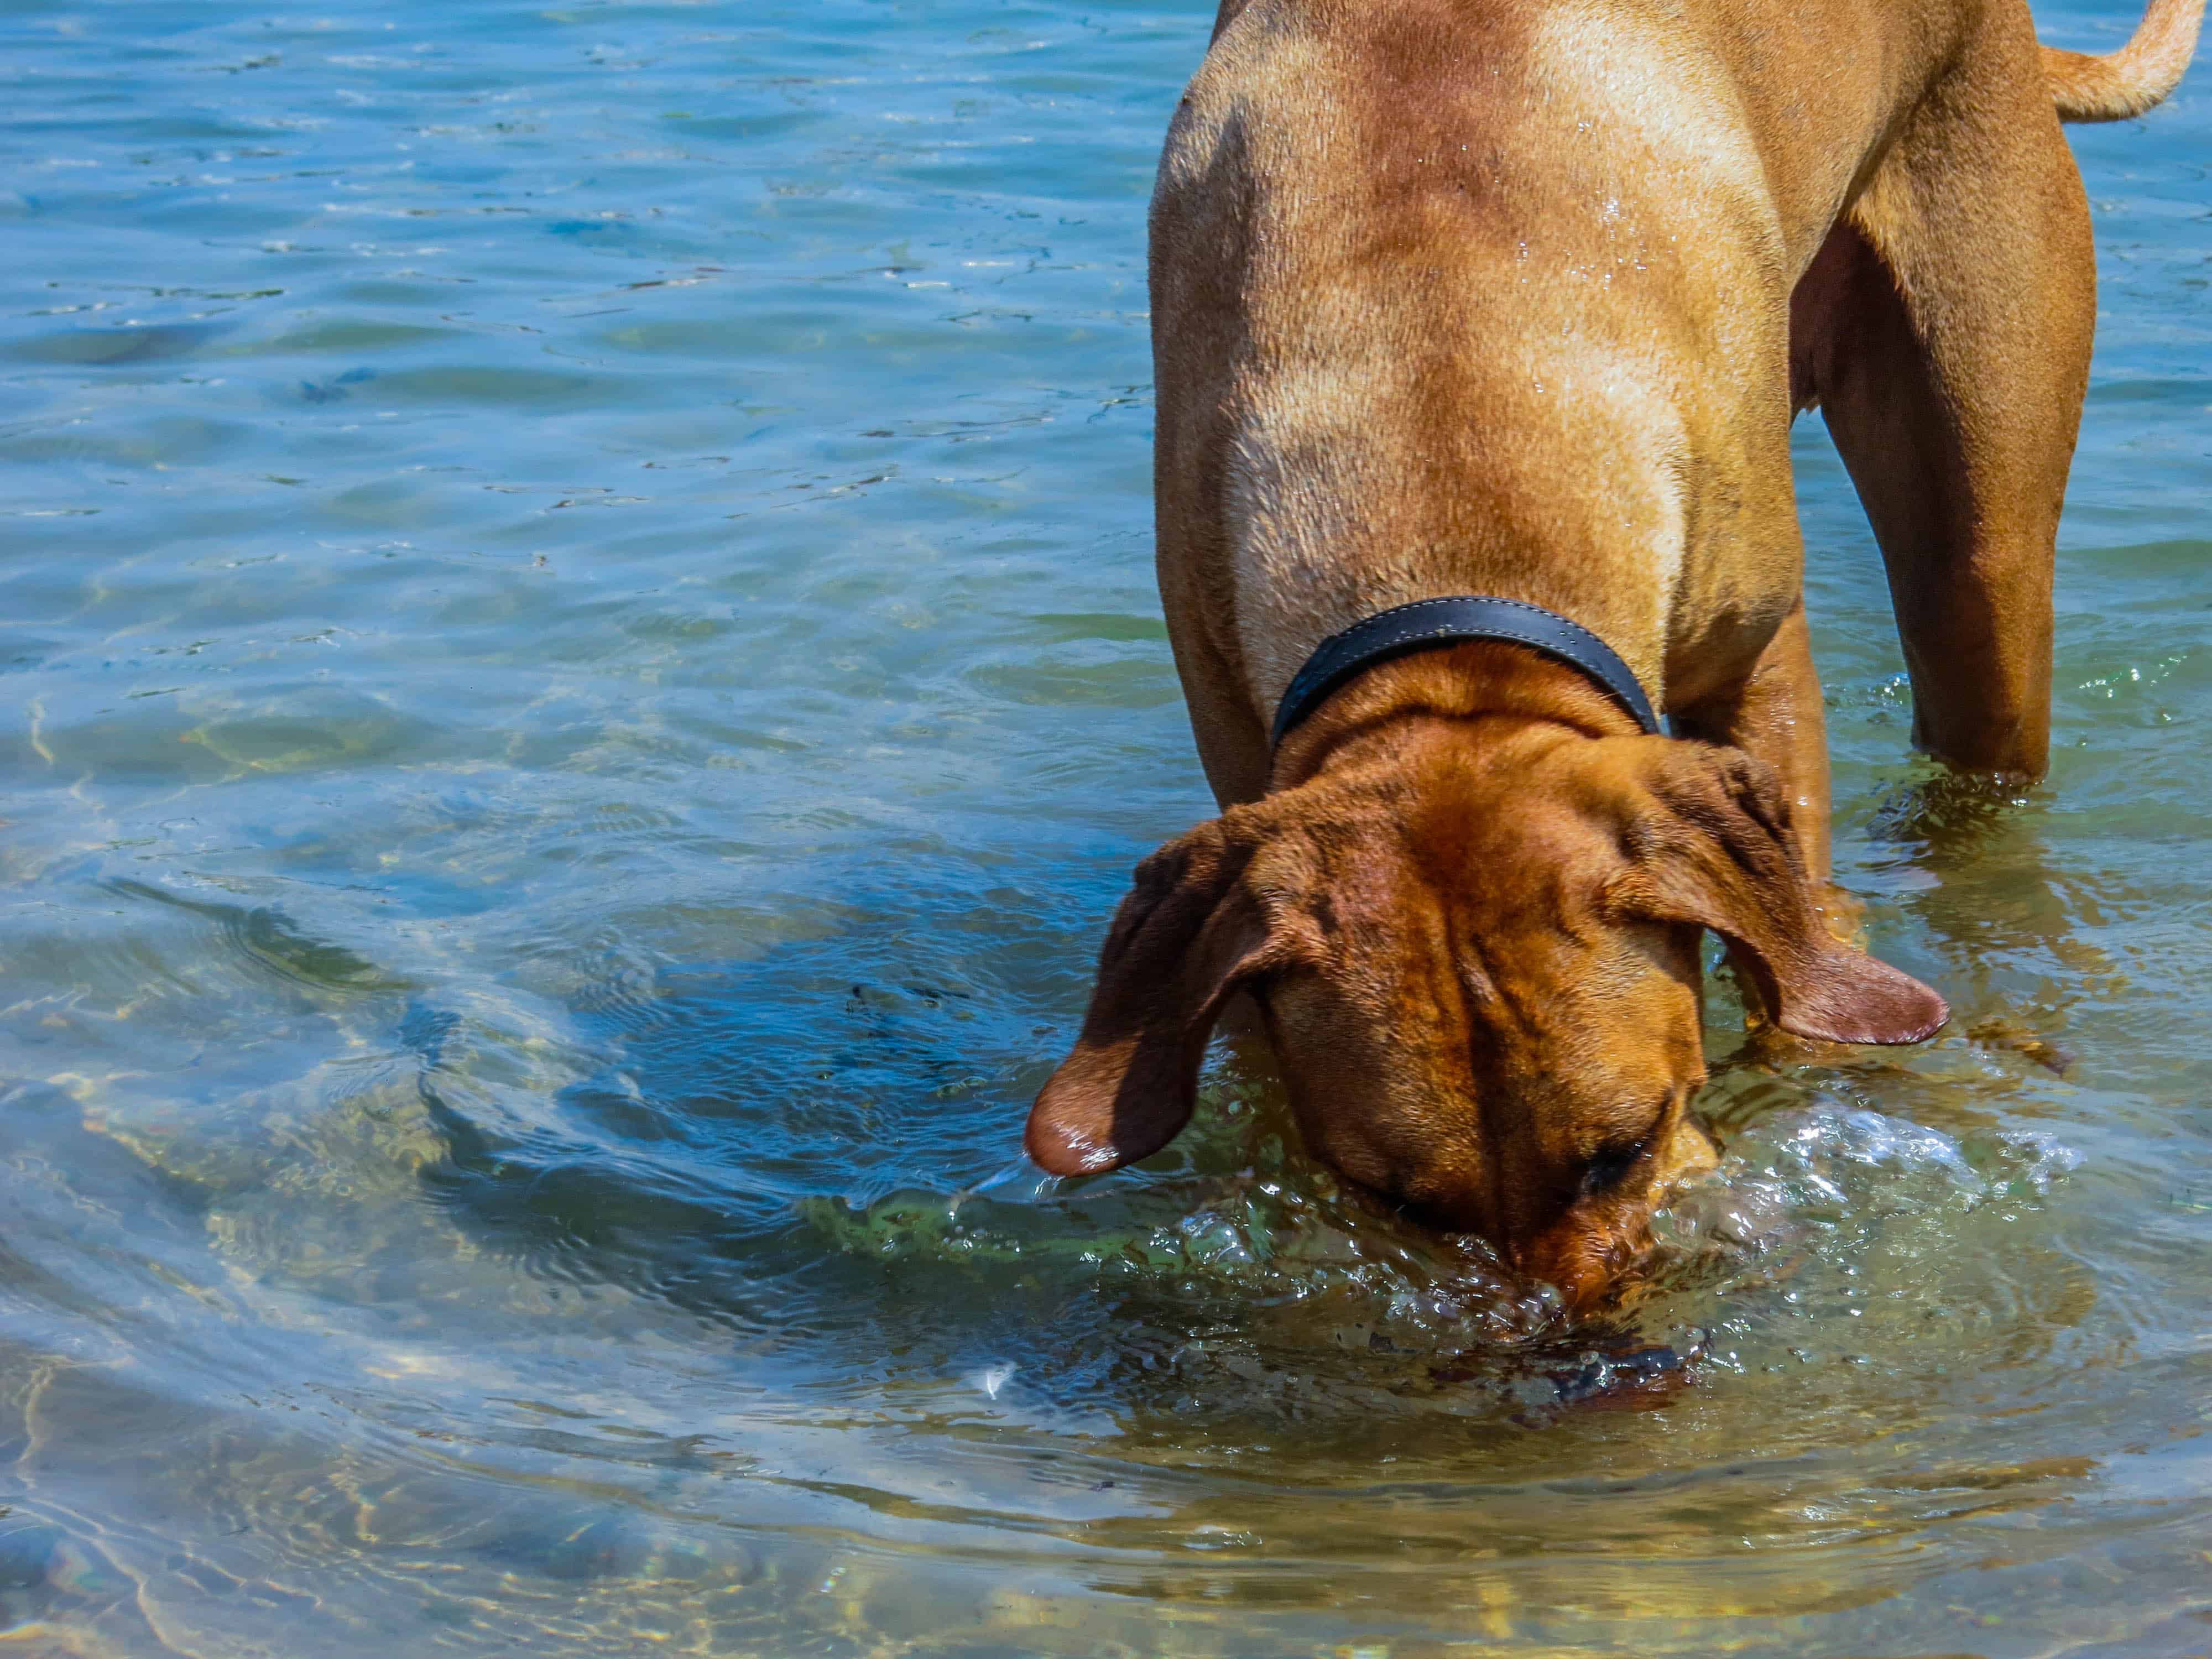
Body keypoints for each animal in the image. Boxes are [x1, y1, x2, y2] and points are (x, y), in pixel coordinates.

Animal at [1026, 0, 2203, 1310]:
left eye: (1625, 1147)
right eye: (1398, 1200)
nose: (1594, 1353)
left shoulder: (1758, 663)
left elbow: (1789, 955)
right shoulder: (1240, 741)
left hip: (1980, 535)